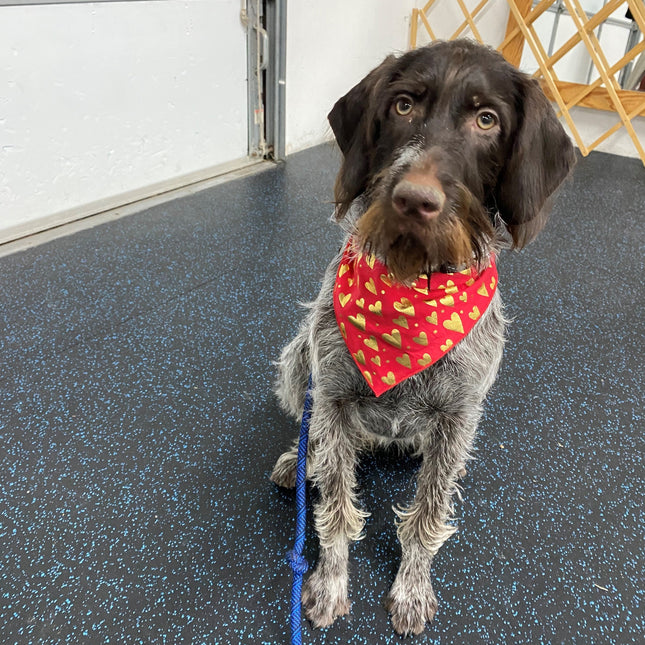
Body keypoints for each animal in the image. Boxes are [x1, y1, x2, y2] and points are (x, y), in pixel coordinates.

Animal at [270, 39, 572, 632]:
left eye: (486, 120)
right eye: (403, 105)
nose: (414, 199)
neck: (411, 290)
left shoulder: (458, 418)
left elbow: (427, 516)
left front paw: (411, 587)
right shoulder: (332, 397)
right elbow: (335, 507)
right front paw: (330, 581)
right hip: (298, 361)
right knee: (317, 437)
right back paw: (301, 458)